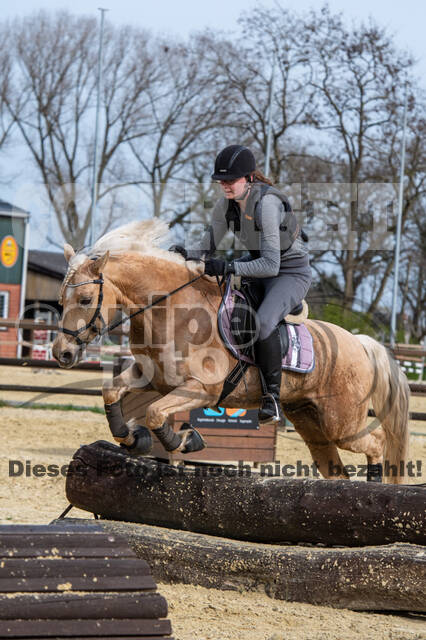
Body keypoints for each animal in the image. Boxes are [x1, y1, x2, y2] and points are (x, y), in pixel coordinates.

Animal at [52, 218, 410, 482]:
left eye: (85, 299)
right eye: (60, 301)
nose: (62, 353)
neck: (172, 309)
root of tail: (360, 343)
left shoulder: (201, 389)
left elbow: (154, 413)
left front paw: (185, 440)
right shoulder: (149, 376)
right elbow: (111, 391)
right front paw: (133, 438)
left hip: (342, 424)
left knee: (377, 442)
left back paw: (375, 485)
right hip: (311, 423)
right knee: (335, 470)